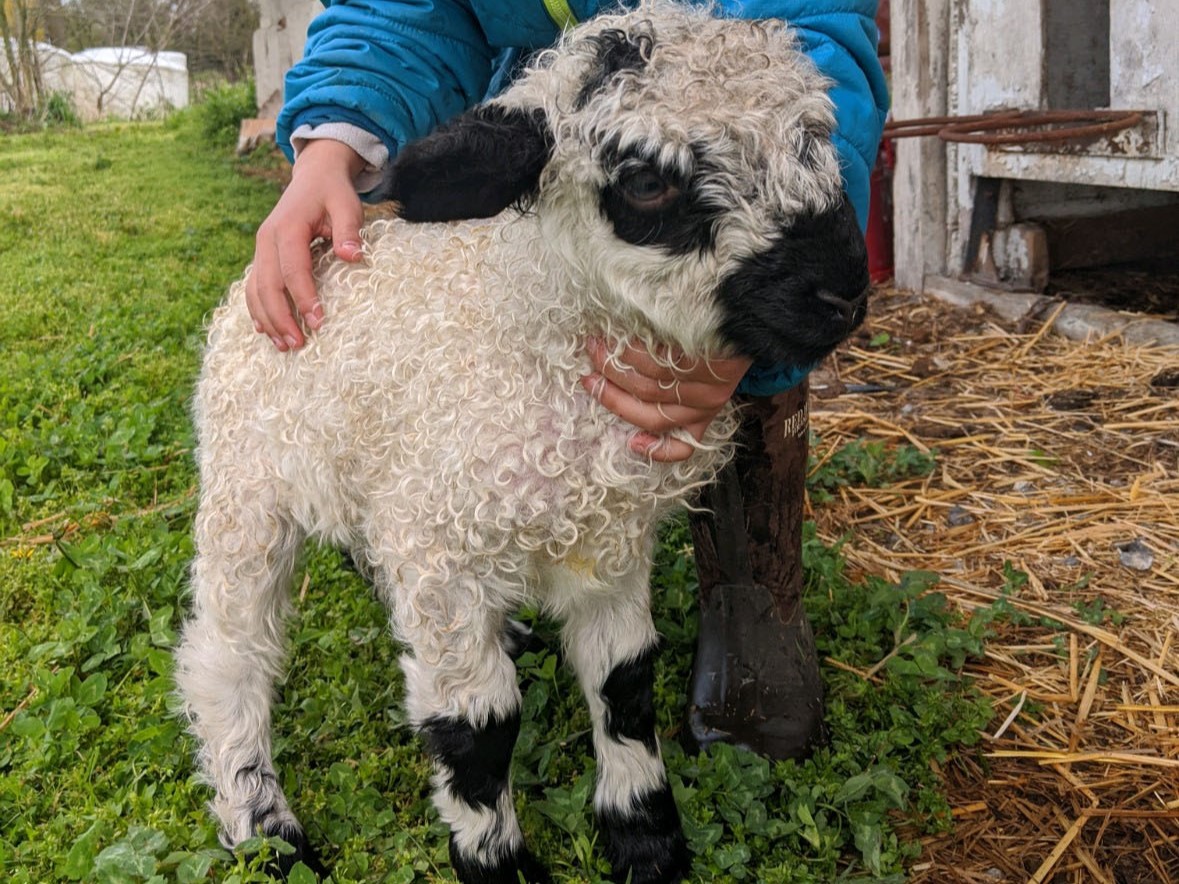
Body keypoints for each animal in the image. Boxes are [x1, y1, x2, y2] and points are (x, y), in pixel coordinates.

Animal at [175, 3, 869, 882]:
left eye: (812, 138)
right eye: (646, 181)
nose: (841, 291)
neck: (533, 328)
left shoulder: (606, 543)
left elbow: (625, 684)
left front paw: (645, 837)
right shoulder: (442, 551)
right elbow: (477, 728)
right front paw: (495, 859)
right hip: (247, 484)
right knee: (229, 655)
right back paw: (261, 825)